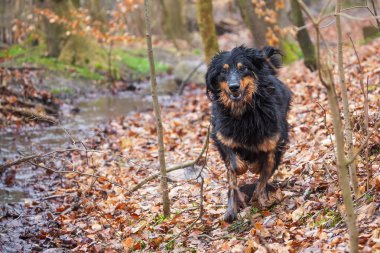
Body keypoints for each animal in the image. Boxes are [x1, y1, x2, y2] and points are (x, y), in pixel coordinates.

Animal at [205, 46, 290, 223]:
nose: (233, 87)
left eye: (242, 68)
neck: (244, 113)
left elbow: (264, 174)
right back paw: (231, 211)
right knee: (232, 182)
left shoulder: (275, 142)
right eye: (223, 71)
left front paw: (260, 194)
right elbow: (236, 167)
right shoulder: (223, 137)